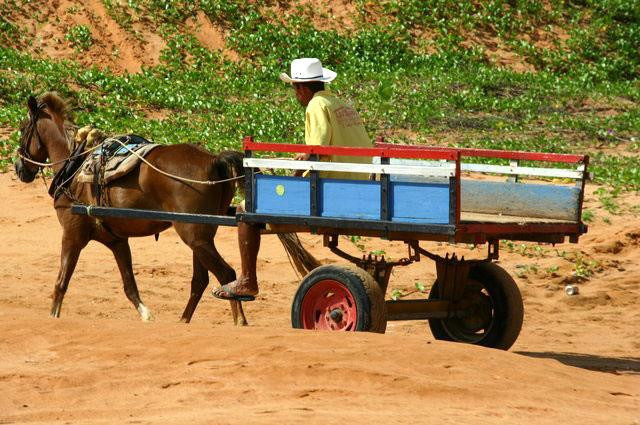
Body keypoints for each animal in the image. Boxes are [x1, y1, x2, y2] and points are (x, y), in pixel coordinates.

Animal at [13, 93, 248, 322]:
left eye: (23, 128)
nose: (18, 167)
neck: (74, 166)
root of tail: (213, 160)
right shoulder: (117, 241)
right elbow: (130, 286)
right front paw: (146, 316)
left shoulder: (72, 235)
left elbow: (61, 284)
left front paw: (53, 316)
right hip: (201, 237)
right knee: (200, 281)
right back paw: (184, 321)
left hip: (194, 236)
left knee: (226, 274)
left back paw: (240, 322)